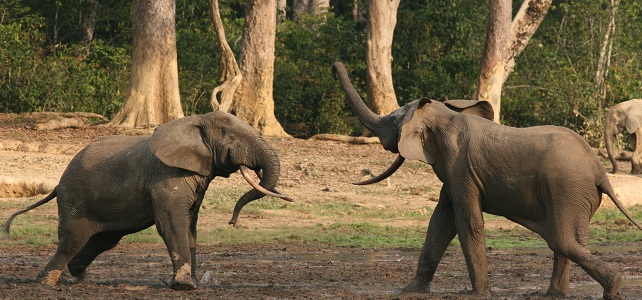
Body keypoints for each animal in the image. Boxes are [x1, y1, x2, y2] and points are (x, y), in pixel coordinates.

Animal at [1, 110, 292, 290]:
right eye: (231, 137)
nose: (232, 222)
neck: (194, 121)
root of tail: (58, 184)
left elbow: (190, 227)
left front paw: (196, 283)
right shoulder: (167, 176)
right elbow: (172, 224)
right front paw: (184, 286)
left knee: (103, 240)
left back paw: (82, 279)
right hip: (75, 199)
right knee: (72, 240)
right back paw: (45, 283)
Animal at [332, 61, 640, 300]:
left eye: (393, 122)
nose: (335, 68)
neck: (447, 115)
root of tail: (600, 171)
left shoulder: (460, 168)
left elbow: (466, 222)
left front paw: (478, 294)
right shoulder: (453, 174)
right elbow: (440, 223)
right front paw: (410, 291)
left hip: (567, 190)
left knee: (562, 241)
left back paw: (614, 287)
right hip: (574, 194)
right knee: (566, 242)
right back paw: (553, 294)